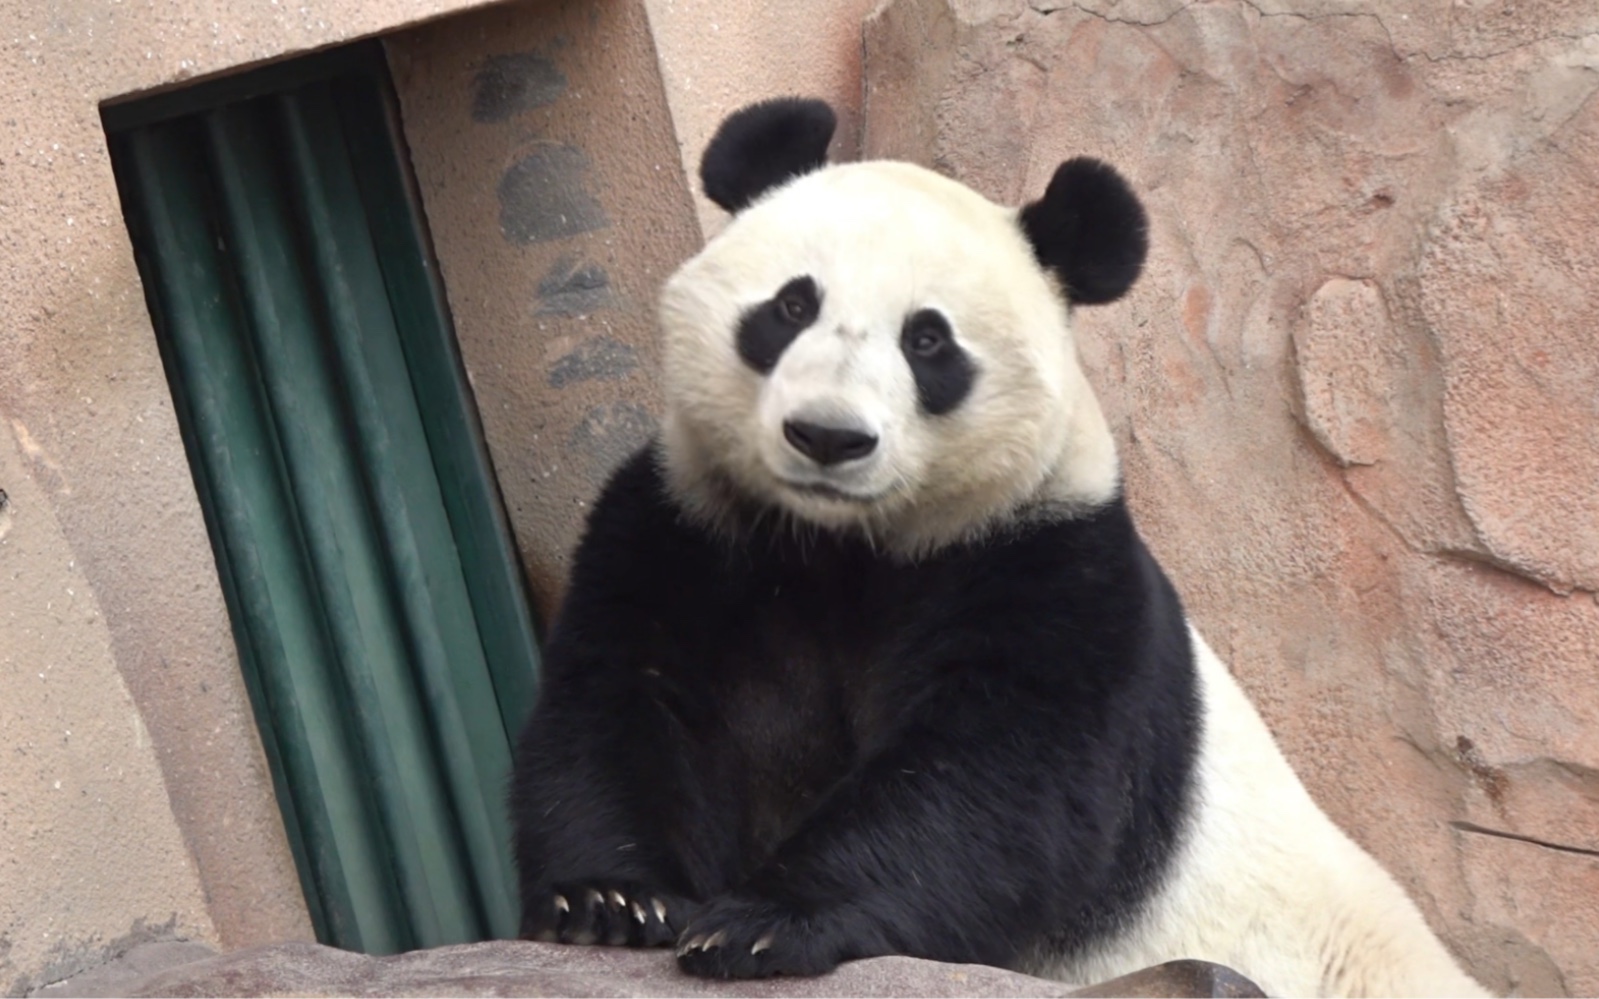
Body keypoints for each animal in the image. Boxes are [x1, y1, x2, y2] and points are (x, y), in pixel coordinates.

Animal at [505, 95, 1490, 997]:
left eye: (927, 339)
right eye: (789, 305)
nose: (828, 435)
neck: (838, 543)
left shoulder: (1049, 565)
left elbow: (992, 784)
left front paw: (763, 921)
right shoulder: (691, 527)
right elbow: (623, 702)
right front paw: (612, 899)